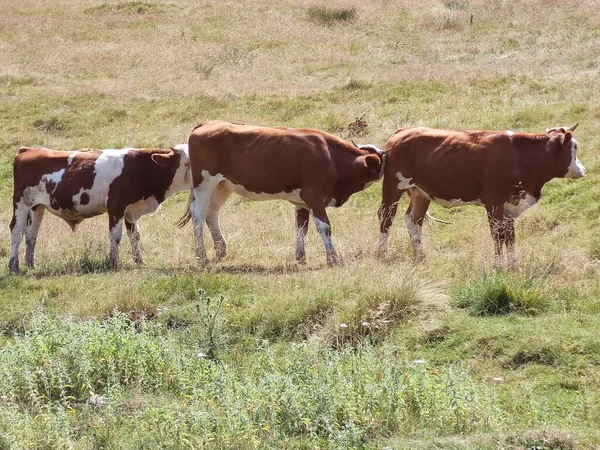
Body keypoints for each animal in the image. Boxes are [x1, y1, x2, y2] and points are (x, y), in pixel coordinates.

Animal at [8, 144, 189, 272]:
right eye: (188, 163)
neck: (138, 168)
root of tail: (28, 150)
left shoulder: (131, 211)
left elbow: (135, 236)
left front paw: (139, 261)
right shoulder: (116, 206)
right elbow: (115, 236)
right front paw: (114, 263)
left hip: (37, 207)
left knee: (31, 235)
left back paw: (31, 264)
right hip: (21, 204)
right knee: (17, 231)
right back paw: (13, 267)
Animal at [178, 121, 384, 266]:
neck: (331, 157)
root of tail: (207, 123)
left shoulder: (302, 202)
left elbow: (301, 228)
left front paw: (300, 257)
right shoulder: (314, 196)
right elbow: (324, 227)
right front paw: (333, 258)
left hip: (222, 186)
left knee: (211, 214)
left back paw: (221, 250)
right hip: (204, 184)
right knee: (198, 216)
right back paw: (201, 256)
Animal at [378, 123, 584, 268]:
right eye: (574, 147)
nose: (583, 169)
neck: (519, 156)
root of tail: (403, 131)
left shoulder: (509, 205)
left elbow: (510, 236)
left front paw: (513, 266)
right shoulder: (493, 202)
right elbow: (497, 235)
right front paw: (498, 267)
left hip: (420, 193)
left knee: (414, 221)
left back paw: (421, 258)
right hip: (393, 188)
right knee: (386, 219)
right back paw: (381, 255)